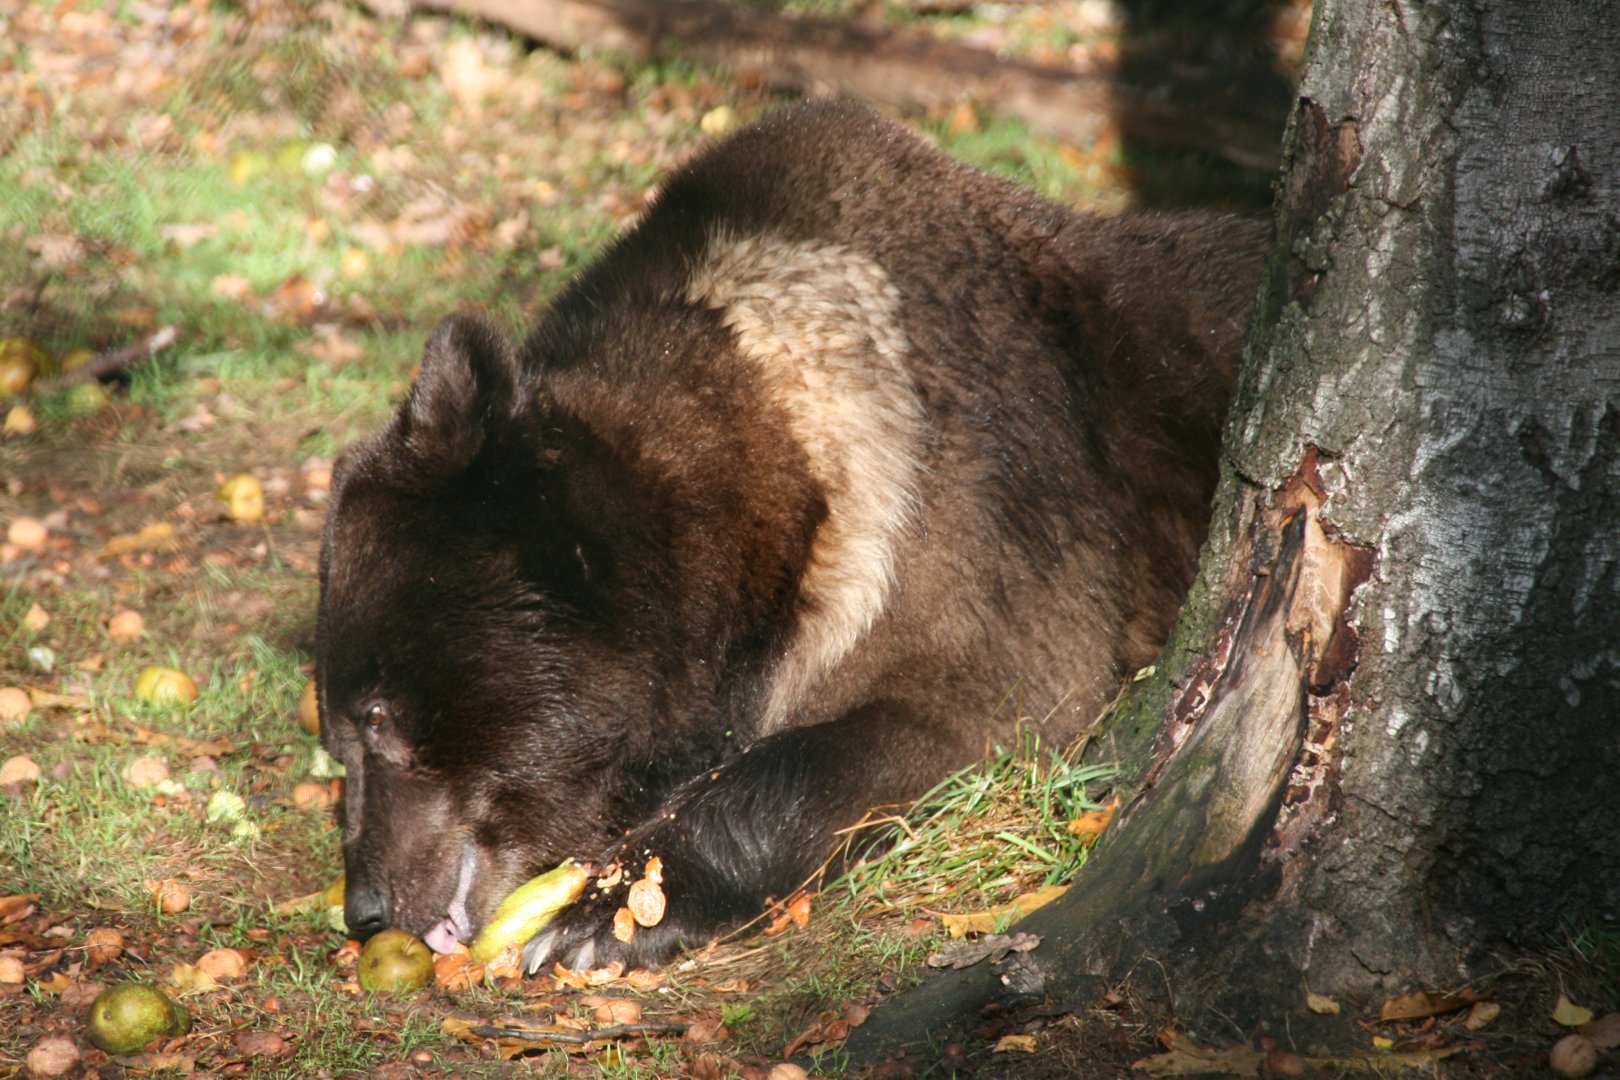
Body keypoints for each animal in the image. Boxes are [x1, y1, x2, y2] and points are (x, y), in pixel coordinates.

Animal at [316, 100, 1267, 972]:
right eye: (338, 735)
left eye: (379, 716)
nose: (368, 904)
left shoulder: (987, 518)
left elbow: (969, 709)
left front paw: (601, 915)